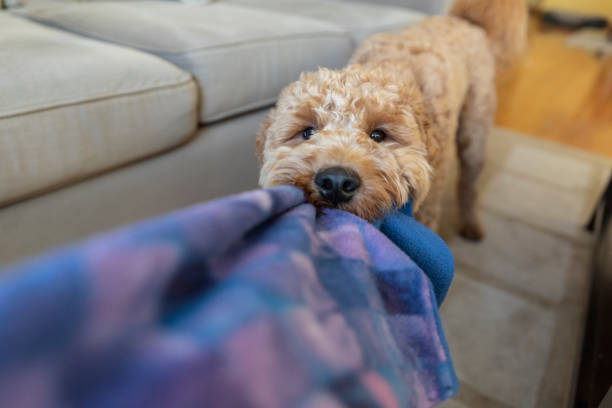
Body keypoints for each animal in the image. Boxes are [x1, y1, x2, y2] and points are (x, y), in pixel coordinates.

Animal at [256, 0, 528, 241]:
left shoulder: (427, 212)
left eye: (378, 135)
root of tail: (467, 22)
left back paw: (471, 225)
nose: (336, 182)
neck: (389, 67)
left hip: (474, 132)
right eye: (308, 132)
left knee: (469, 184)